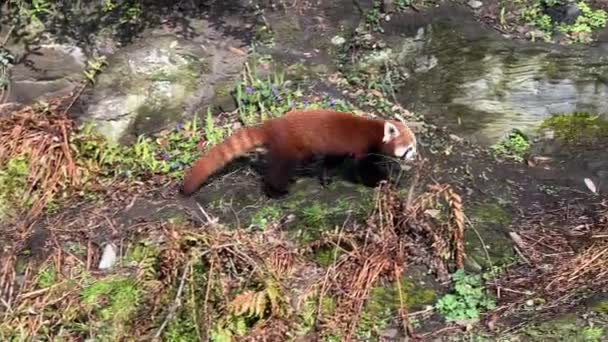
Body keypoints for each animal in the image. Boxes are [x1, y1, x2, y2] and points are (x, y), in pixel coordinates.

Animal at [180, 109, 418, 198]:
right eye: (409, 148)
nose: (416, 156)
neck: (376, 131)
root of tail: (272, 125)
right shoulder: (361, 148)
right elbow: (363, 170)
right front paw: (385, 182)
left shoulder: (337, 148)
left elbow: (330, 163)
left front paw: (326, 179)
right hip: (290, 148)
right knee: (278, 170)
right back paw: (276, 191)